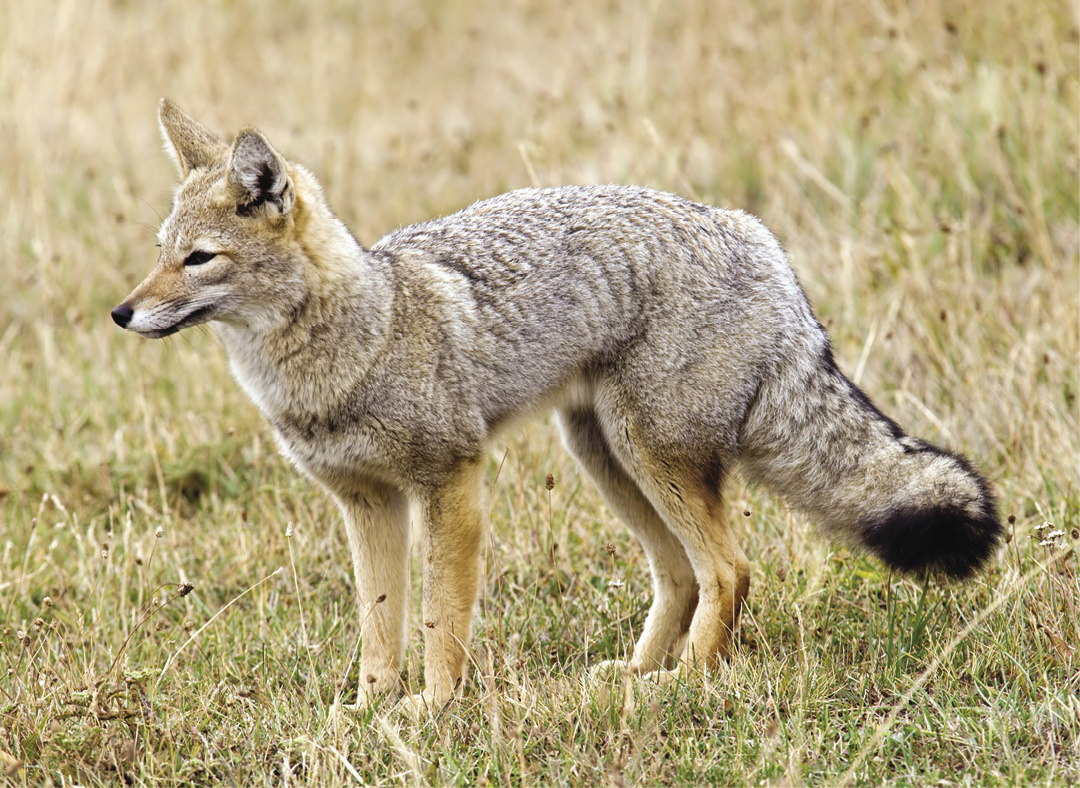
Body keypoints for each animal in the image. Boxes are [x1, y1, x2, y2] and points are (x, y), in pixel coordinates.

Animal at [113, 99, 1001, 708]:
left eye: (199, 260)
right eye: (158, 253)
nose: (121, 313)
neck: (355, 341)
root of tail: (756, 237)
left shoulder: (451, 483)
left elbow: (438, 618)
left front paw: (432, 707)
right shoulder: (366, 504)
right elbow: (378, 624)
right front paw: (369, 710)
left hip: (652, 457)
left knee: (730, 569)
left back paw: (686, 683)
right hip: (606, 457)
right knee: (680, 574)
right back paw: (637, 673)